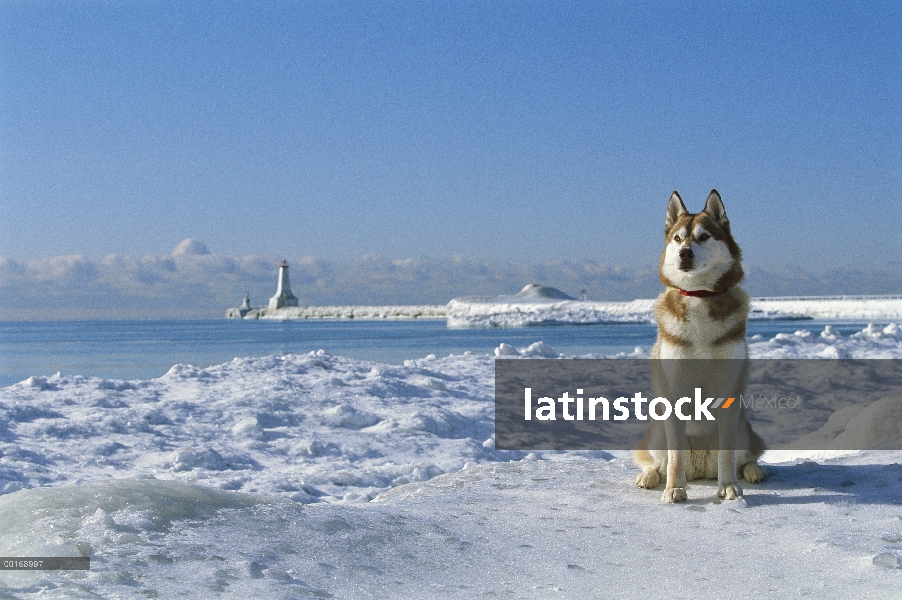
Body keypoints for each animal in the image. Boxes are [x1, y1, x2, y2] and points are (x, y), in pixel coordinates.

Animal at [636, 191, 768, 502]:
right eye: (678, 238)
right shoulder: (673, 392)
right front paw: (674, 489)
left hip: (744, 428)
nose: (685, 253)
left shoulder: (729, 394)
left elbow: (728, 455)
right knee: (656, 461)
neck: (699, 295)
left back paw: (753, 471)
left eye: (704, 237)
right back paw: (649, 476)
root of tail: (700, 469)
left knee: (746, 456)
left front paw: (729, 486)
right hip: (657, 430)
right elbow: (675, 459)